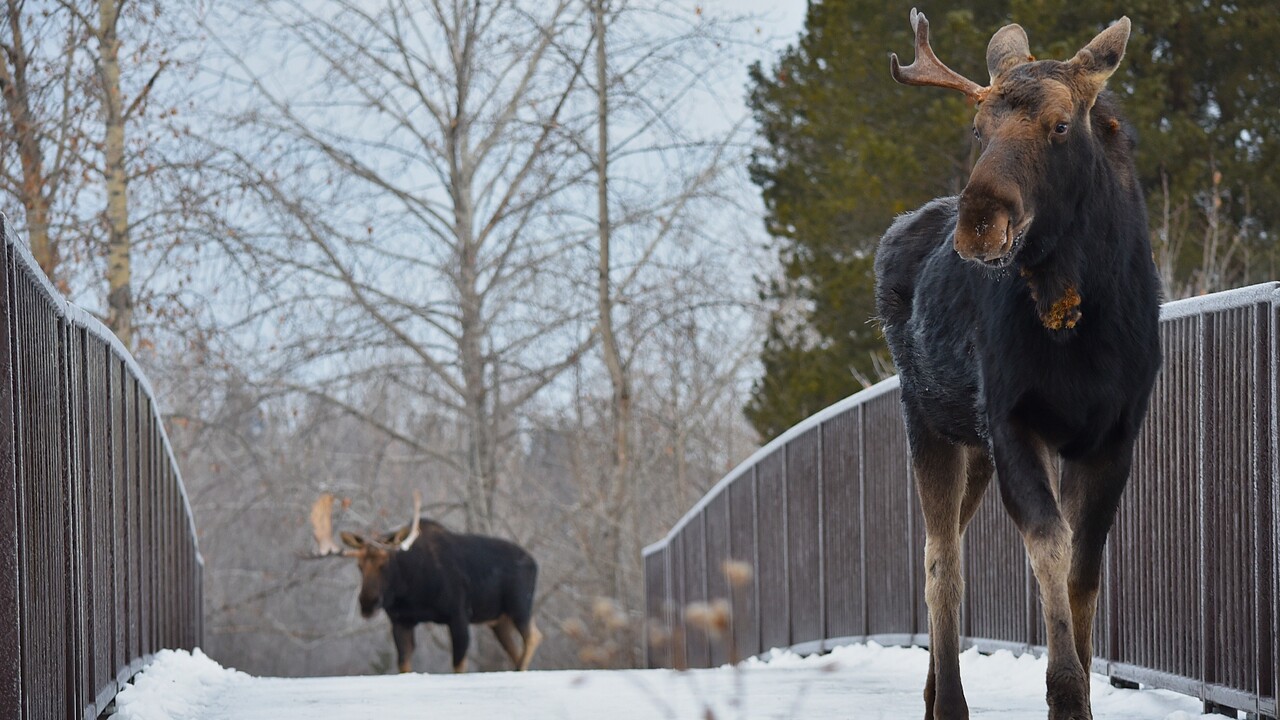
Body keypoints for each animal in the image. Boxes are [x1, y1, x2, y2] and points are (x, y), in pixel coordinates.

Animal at [307, 493, 542, 674]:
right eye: (359, 565)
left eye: (385, 562)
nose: (367, 602)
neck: (411, 589)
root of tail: (534, 562)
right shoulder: (401, 621)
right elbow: (404, 666)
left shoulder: (458, 615)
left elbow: (458, 667)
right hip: (499, 620)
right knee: (517, 647)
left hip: (519, 606)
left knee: (533, 636)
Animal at [875, 10, 1161, 720]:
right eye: (979, 128)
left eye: (1061, 125)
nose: (980, 221)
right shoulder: (1011, 421)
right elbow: (1049, 543)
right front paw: (1065, 690)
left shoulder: (1115, 432)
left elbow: (1086, 565)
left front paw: (1080, 690)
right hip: (930, 420)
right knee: (941, 561)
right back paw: (948, 700)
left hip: (973, 446)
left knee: (950, 544)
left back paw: (933, 691)